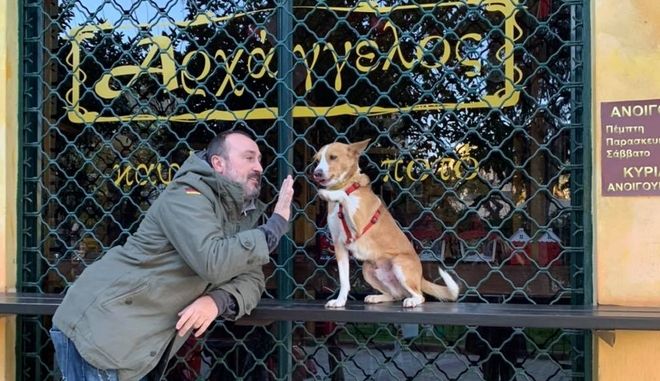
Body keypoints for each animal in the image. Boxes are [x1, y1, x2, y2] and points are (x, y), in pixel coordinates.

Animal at [314, 140, 458, 308]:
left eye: (333, 157)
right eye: (317, 160)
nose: (316, 173)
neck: (348, 185)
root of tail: (420, 277)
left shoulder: (358, 224)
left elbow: (344, 195)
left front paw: (328, 194)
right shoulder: (339, 245)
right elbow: (344, 281)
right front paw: (340, 301)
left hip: (399, 263)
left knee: (420, 296)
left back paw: (412, 300)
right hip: (368, 269)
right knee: (395, 295)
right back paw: (376, 297)